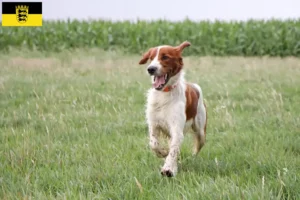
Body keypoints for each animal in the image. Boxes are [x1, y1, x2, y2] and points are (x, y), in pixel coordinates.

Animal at [138, 41, 206, 177]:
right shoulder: (154, 124)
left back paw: (191, 157)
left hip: (200, 129)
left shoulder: (177, 129)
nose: (151, 69)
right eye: (151, 58)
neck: (164, 93)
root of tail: (194, 85)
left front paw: (168, 169)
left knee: (198, 145)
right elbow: (154, 144)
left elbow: (173, 150)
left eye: (165, 57)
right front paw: (163, 153)